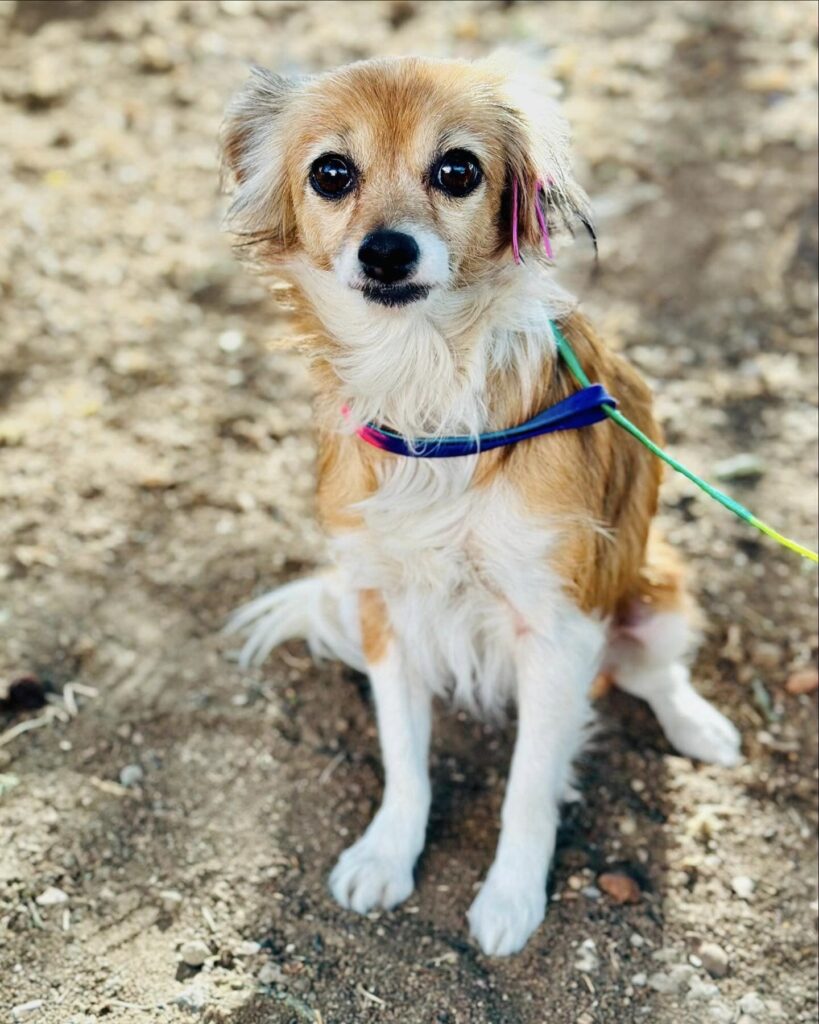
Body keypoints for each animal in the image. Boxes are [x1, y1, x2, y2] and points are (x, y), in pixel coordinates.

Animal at [219, 54, 741, 950]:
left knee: (654, 675)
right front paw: (387, 853)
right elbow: (403, 757)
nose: (386, 251)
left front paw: (509, 898)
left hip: (654, 589)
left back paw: (697, 726)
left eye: (457, 170)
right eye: (331, 173)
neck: (426, 384)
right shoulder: (383, 607)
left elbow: (528, 786)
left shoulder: (558, 624)